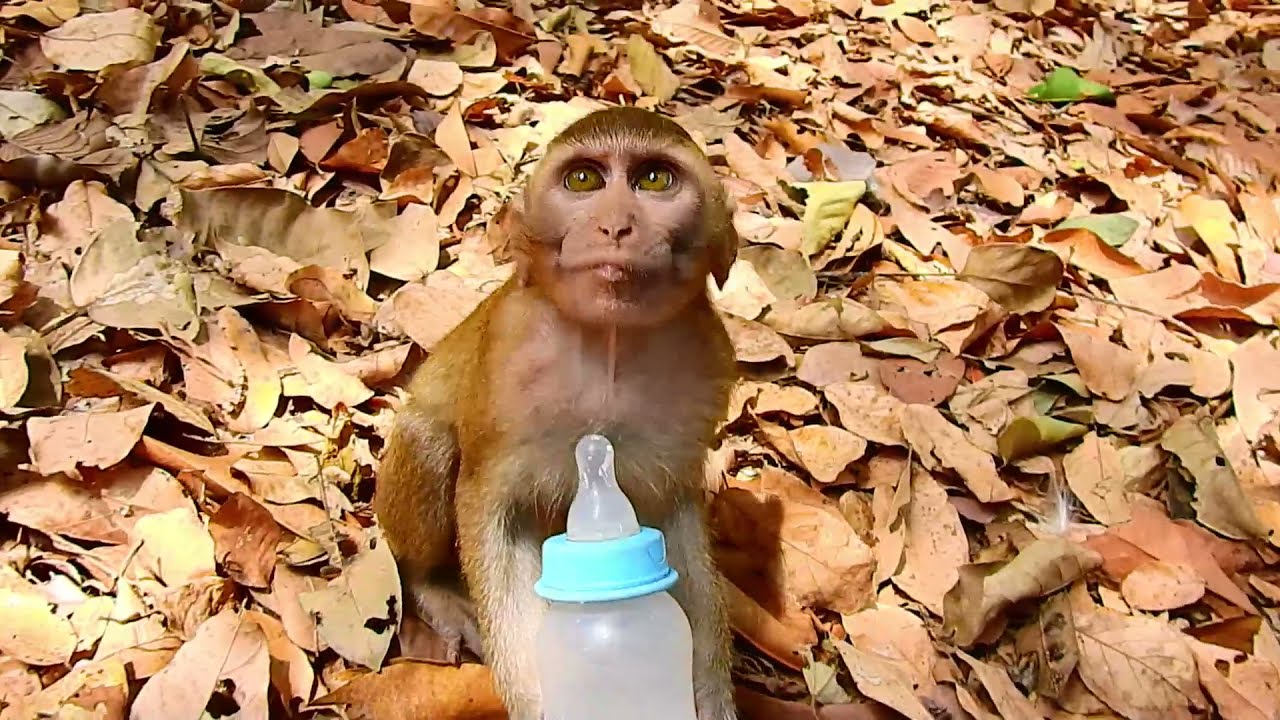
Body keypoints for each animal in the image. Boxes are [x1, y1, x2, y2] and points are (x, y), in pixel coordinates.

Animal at [373, 106, 740, 720]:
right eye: (584, 180)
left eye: (655, 180)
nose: (615, 226)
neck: (611, 345)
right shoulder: (507, 356)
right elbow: (496, 512)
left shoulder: (709, 366)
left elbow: (673, 519)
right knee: (429, 441)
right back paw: (433, 587)